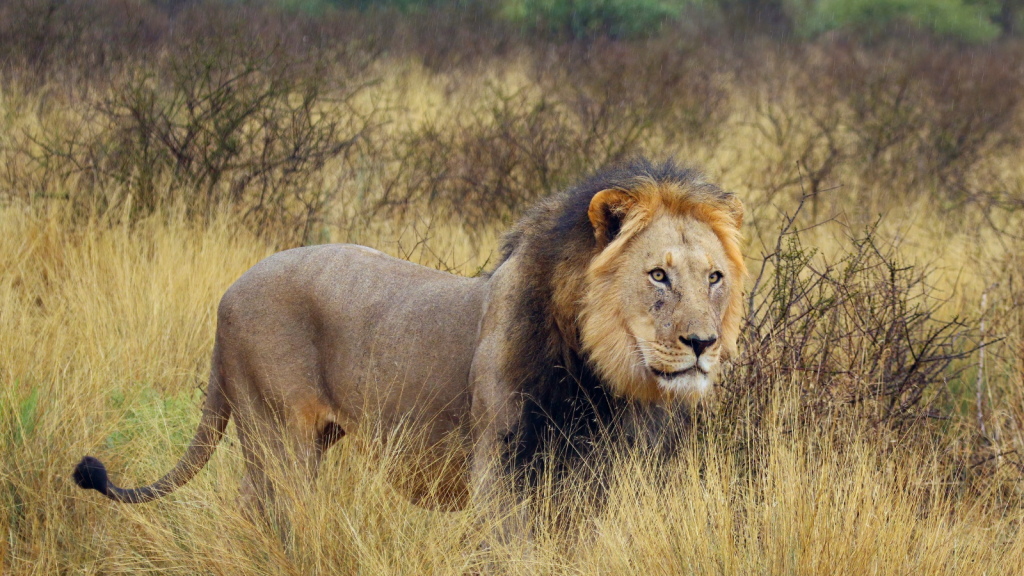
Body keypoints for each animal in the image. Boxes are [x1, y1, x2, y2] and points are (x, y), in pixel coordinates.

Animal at [72, 156, 745, 520]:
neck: (601, 380)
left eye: (714, 277)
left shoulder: (597, 479)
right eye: (657, 275)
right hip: (278, 437)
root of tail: (229, 293)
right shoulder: (500, 471)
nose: (703, 343)